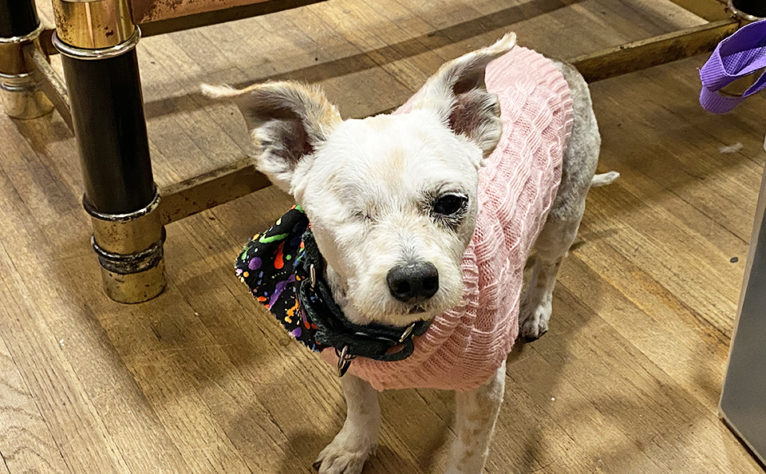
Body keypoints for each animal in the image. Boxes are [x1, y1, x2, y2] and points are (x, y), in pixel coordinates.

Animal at [203, 32, 617, 473]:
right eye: (350, 212)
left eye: (451, 203)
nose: (416, 279)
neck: (386, 335)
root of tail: (553, 60)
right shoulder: (348, 355)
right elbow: (361, 406)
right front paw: (352, 449)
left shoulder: (484, 388)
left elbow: (468, 454)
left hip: (564, 209)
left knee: (550, 265)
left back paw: (535, 309)